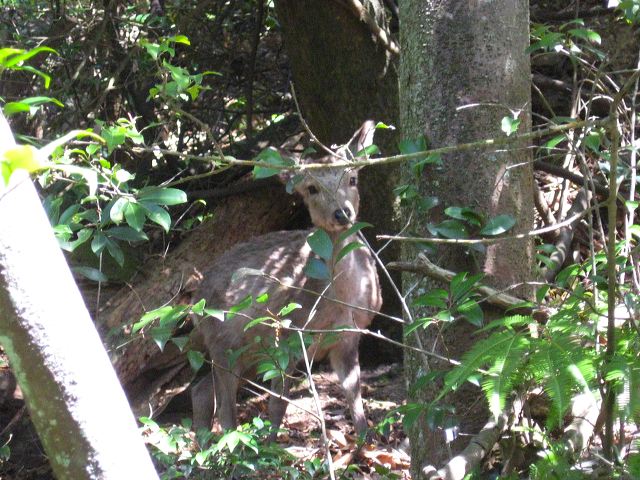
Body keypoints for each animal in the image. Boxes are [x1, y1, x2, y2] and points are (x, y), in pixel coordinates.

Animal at [190, 122, 380, 440]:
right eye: (312, 188)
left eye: (352, 178)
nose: (342, 213)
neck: (338, 300)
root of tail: (193, 302)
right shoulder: (289, 335)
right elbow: (278, 403)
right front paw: (271, 444)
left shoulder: (349, 336)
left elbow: (356, 400)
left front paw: (366, 443)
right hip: (222, 339)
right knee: (224, 405)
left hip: (248, 352)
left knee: (202, 391)